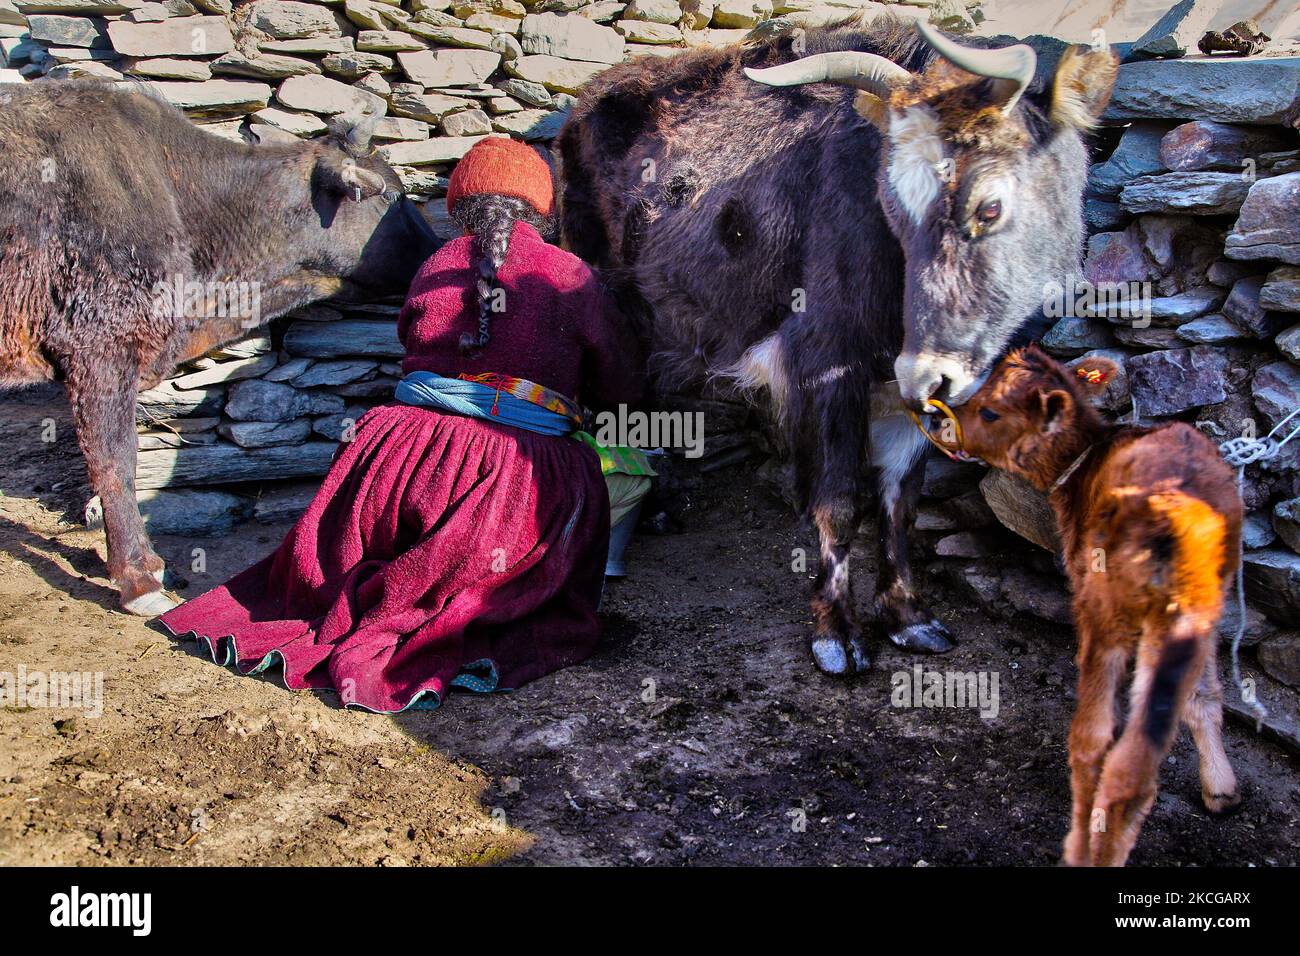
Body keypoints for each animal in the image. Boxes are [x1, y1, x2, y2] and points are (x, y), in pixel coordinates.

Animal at [935, 343, 1237, 868]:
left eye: (990, 410)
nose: (938, 421)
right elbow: (1204, 695)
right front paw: (1220, 788)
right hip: (1191, 613)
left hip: (1107, 608)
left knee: (1100, 746)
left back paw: (1082, 848)